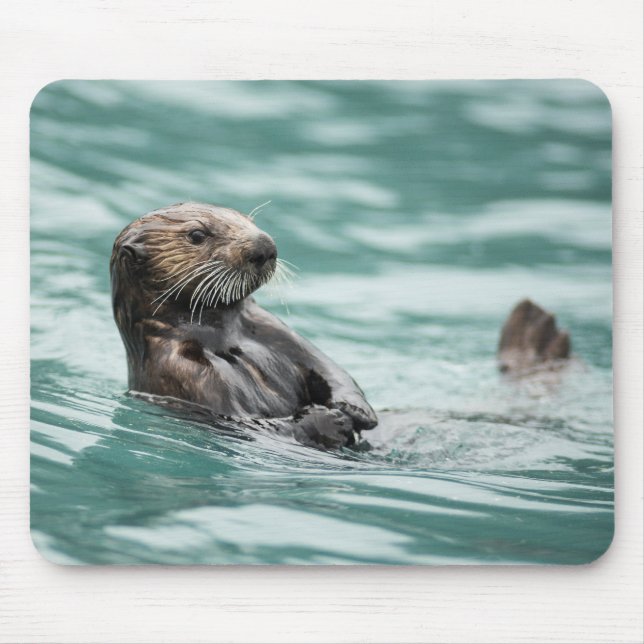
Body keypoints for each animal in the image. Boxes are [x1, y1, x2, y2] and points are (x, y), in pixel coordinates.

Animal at [110, 202, 377, 449]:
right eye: (197, 235)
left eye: (248, 220)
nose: (264, 245)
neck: (223, 338)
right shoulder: (184, 371)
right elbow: (249, 423)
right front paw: (330, 420)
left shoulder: (271, 328)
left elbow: (328, 368)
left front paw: (355, 409)